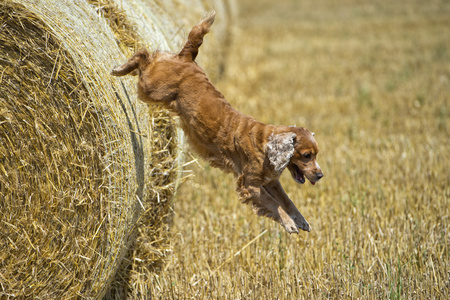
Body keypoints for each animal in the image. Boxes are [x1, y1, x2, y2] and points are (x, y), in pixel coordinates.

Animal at [112, 11, 324, 233]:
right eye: (307, 155)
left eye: (316, 154)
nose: (320, 175)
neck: (264, 144)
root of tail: (186, 57)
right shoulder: (250, 185)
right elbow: (275, 205)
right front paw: (289, 223)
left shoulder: (272, 182)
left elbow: (287, 201)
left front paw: (301, 220)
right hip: (152, 87)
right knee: (143, 55)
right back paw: (119, 69)